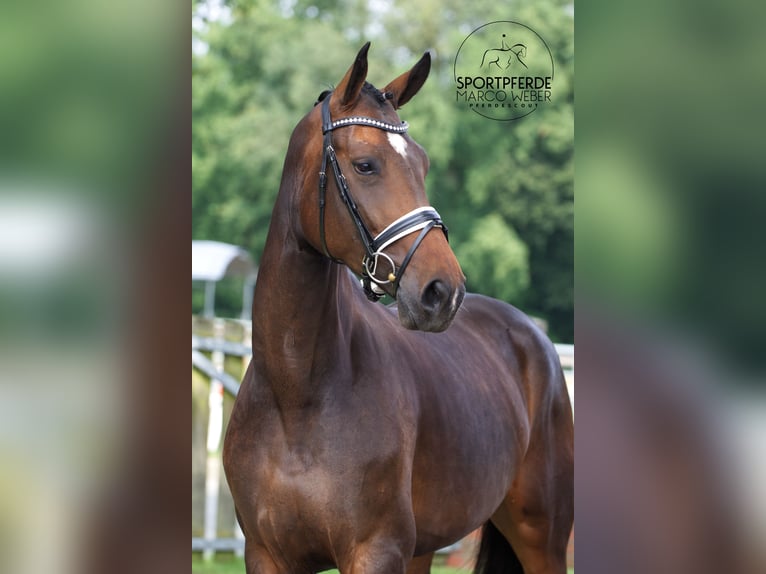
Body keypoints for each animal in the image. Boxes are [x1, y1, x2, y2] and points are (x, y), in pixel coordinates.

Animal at [222, 41, 568, 574]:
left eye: (422, 165)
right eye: (365, 164)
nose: (443, 292)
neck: (295, 394)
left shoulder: (376, 551)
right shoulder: (266, 556)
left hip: (542, 536)